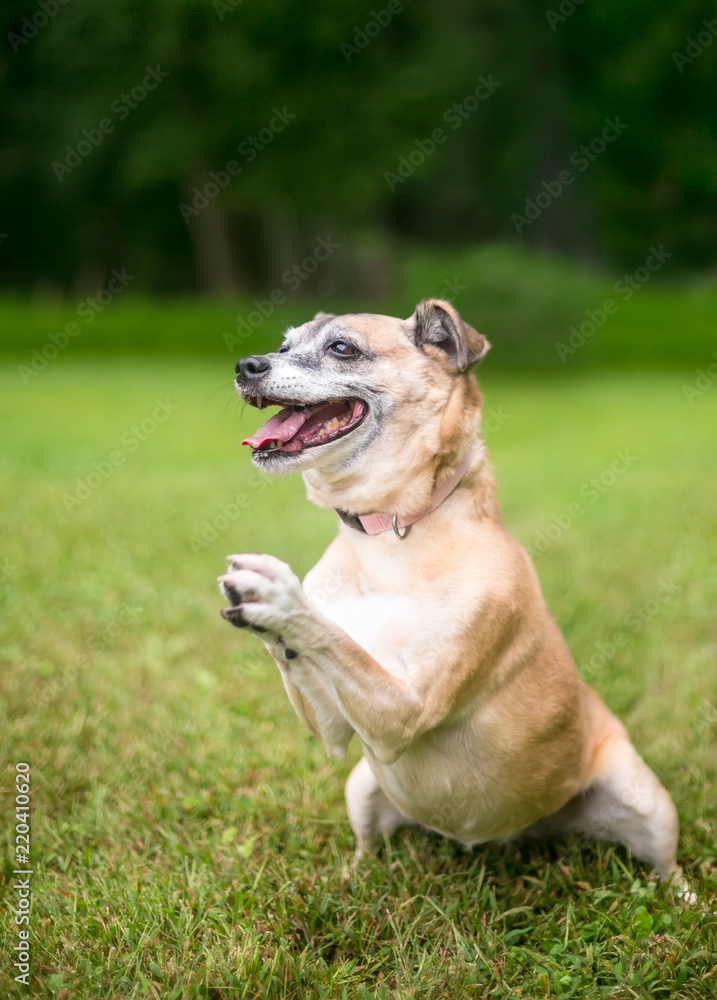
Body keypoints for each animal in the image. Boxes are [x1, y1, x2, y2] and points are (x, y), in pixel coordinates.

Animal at [220, 298, 688, 892]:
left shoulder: (405, 709)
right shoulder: (335, 729)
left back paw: (686, 899)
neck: (389, 535)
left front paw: (282, 598)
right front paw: (261, 611)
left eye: (342, 348)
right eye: (284, 345)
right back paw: (351, 878)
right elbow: (310, 658)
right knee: (368, 847)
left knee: (668, 868)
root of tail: (531, 830)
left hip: (645, 800)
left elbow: (336, 640)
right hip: (360, 787)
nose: (246, 365)